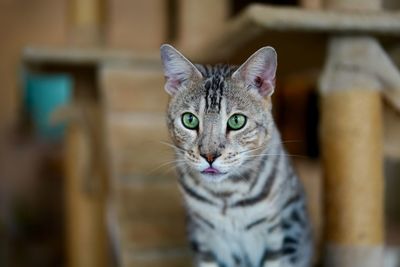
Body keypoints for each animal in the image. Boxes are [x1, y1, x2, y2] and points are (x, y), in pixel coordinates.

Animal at [159, 44, 312, 267]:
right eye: (189, 120)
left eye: (237, 121)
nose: (209, 155)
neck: (225, 195)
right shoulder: (204, 241)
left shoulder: (279, 236)